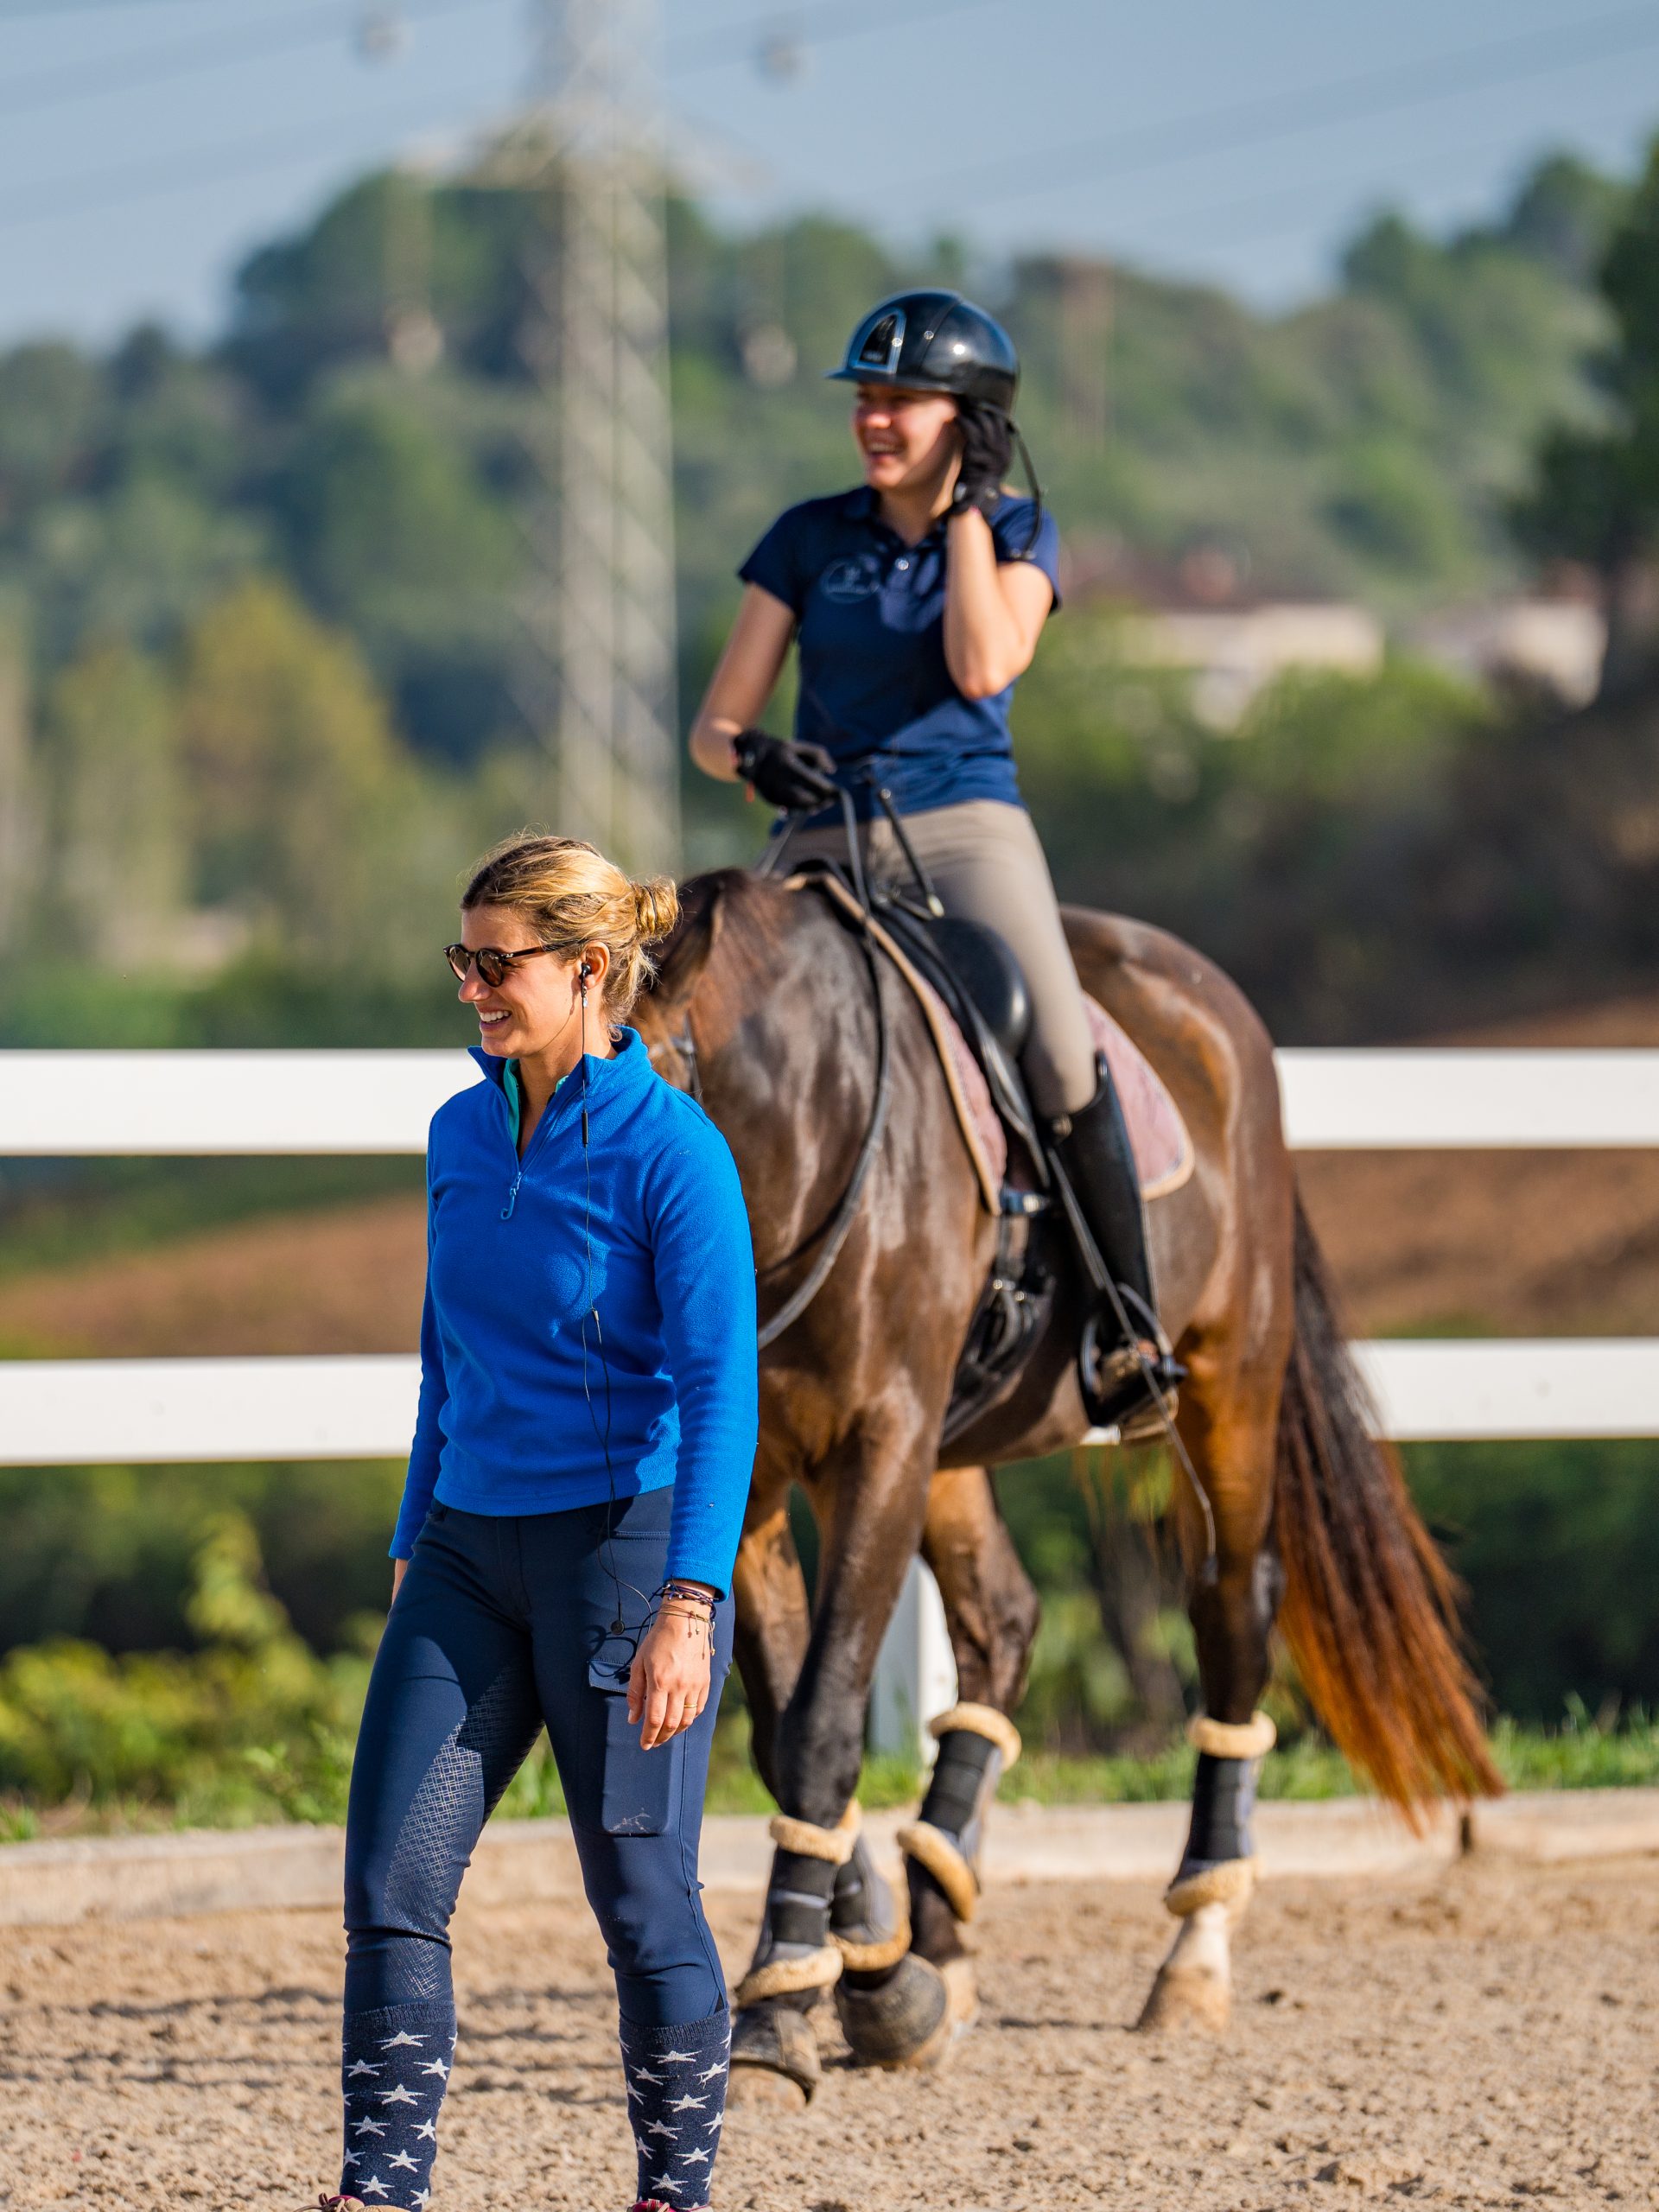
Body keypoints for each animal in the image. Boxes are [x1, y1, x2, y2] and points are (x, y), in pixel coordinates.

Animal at [633, 864, 1499, 2104]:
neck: (816, 1125)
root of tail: (1209, 997)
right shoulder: (750, 1477)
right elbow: (780, 1720)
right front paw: (873, 1971)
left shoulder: (883, 1444)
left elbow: (820, 1725)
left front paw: (793, 2008)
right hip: (963, 1448)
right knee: (1002, 1620)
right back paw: (943, 1926)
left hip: (1229, 1383)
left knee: (1231, 1606)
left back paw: (1193, 1951)